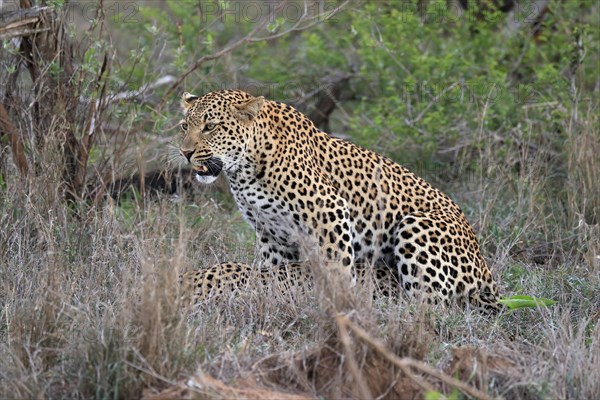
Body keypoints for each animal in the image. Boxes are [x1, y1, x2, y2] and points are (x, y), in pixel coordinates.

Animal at [177, 88, 502, 312]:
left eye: (210, 126)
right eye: (184, 126)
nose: (185, 153)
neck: (243, 170)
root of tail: (487, 272)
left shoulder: (328, 210)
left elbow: (337, 267)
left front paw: (340, 304)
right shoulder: (272, 235)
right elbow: (274, 273)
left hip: (416, 226)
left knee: (431, 306)